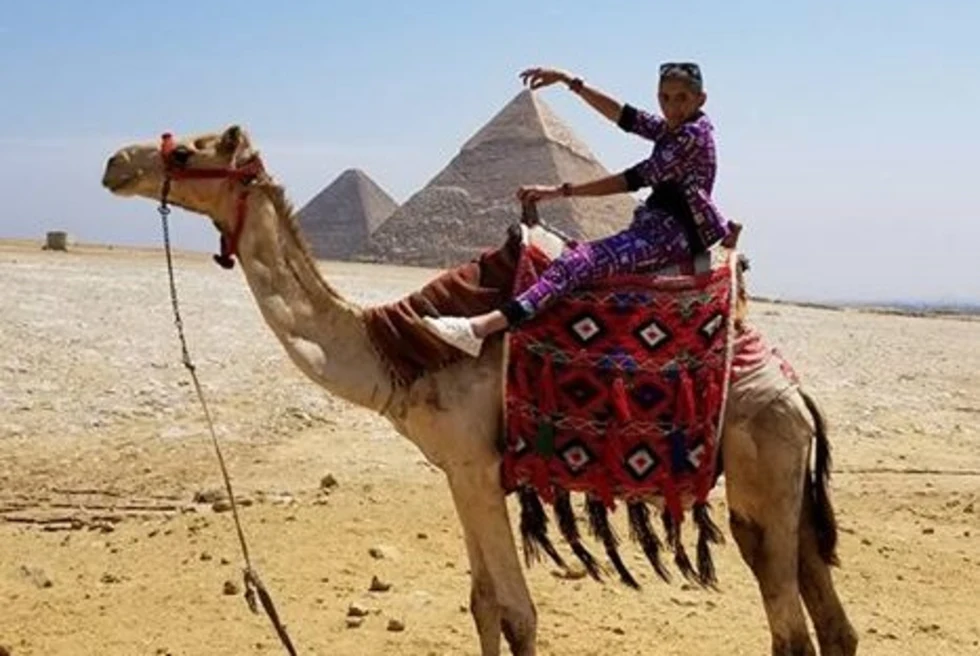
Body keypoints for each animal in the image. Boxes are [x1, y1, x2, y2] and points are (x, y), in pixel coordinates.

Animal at [100, 125, 857, 656]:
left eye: (187, 152)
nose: (116, 163)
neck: (401, 353)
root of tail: (799, 397)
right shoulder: (458, 472)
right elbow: (482, 603)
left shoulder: (479, 464)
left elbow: (519, 614)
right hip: (786, 487)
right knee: (832, 625)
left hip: (760, 472)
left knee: (791, 632)